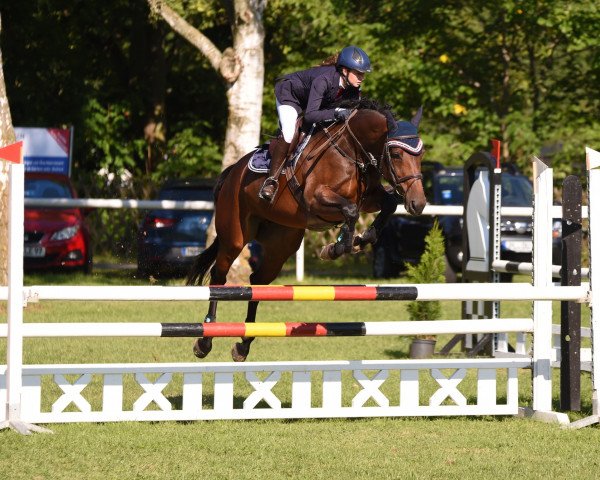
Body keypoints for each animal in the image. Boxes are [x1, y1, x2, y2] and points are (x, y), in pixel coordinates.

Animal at [186, 99, 426, 360]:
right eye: (396, 154)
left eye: (421, 154)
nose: (418, 203)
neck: (352, 150)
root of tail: (233, 172)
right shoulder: (316, 199)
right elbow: (351, 210)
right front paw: (339, 246)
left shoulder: (370, 198)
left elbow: (387, 205)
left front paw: (359, 240)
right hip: (234, 237)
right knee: (218, 278)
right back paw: (205, 340)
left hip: (281, 245)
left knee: (258, 282)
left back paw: (244, 343)